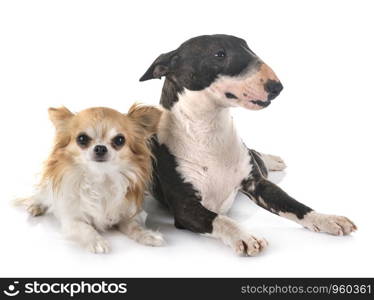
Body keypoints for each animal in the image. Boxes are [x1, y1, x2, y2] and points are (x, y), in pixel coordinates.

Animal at [16, 104, 164, 252]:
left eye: (119, 140)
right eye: (82, 138)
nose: (100, 148)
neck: (100, 178)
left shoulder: (125, 213)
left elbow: (134, 226)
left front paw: (148, 235)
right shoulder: (72, 219)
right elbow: (85, 228)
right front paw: (96, 241)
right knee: (42, 194)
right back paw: (35, 206)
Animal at [139, 34, 356, 255]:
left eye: (247, 46)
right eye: (219, 54)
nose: (277, 87)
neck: (209, 132)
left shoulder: (257, 183)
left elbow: (294, 204)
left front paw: (327, 219)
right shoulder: (185, 207)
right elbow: (220, 220)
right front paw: (245, 236)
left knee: (257, 155)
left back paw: (274, 160)